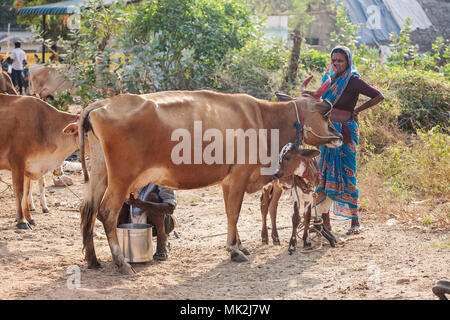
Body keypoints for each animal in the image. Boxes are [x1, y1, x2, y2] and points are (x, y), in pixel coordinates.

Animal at [0, 94, 79, 229]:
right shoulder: (17, 162)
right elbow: (20, 192)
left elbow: (27, 193)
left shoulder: (29, 167)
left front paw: (29, 218)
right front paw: (21, 221)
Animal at [79, 78, 342, 276]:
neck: (263, 119)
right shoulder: (239, 175)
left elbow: (230, 212)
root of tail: (102, 104)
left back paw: (93, 260)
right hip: (121, 178)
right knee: (107, 212)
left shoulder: (228, 179)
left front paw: (240, 245)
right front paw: (234, 250)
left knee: (88, 211)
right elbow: (234, 212)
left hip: (100, 174)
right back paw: (121, 263)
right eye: (325, 114)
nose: (339, 136)